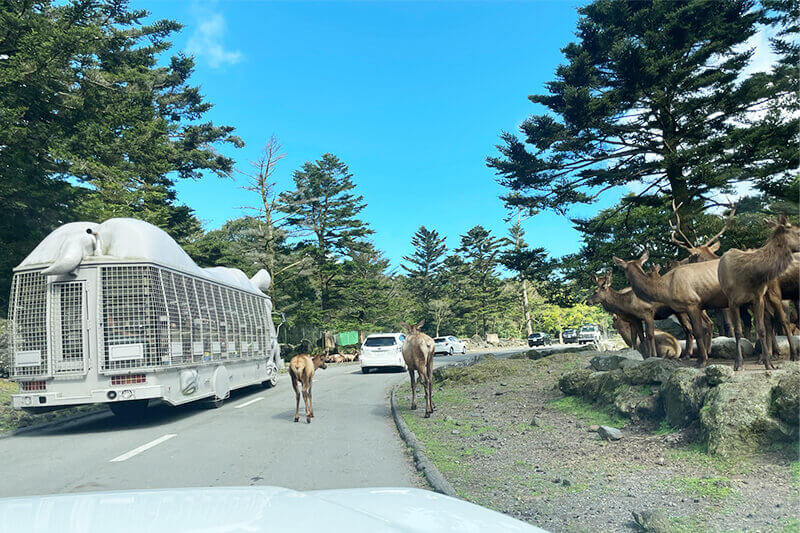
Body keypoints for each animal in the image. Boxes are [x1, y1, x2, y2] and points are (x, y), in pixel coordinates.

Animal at [720, 216, 800, 370]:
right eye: (798, 232)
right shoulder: (733, 301)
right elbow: (738, 331)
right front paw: (738, 363)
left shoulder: (758, 298)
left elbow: (761, 328)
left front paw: (768, 363)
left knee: (783, 320)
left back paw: (791, 355)